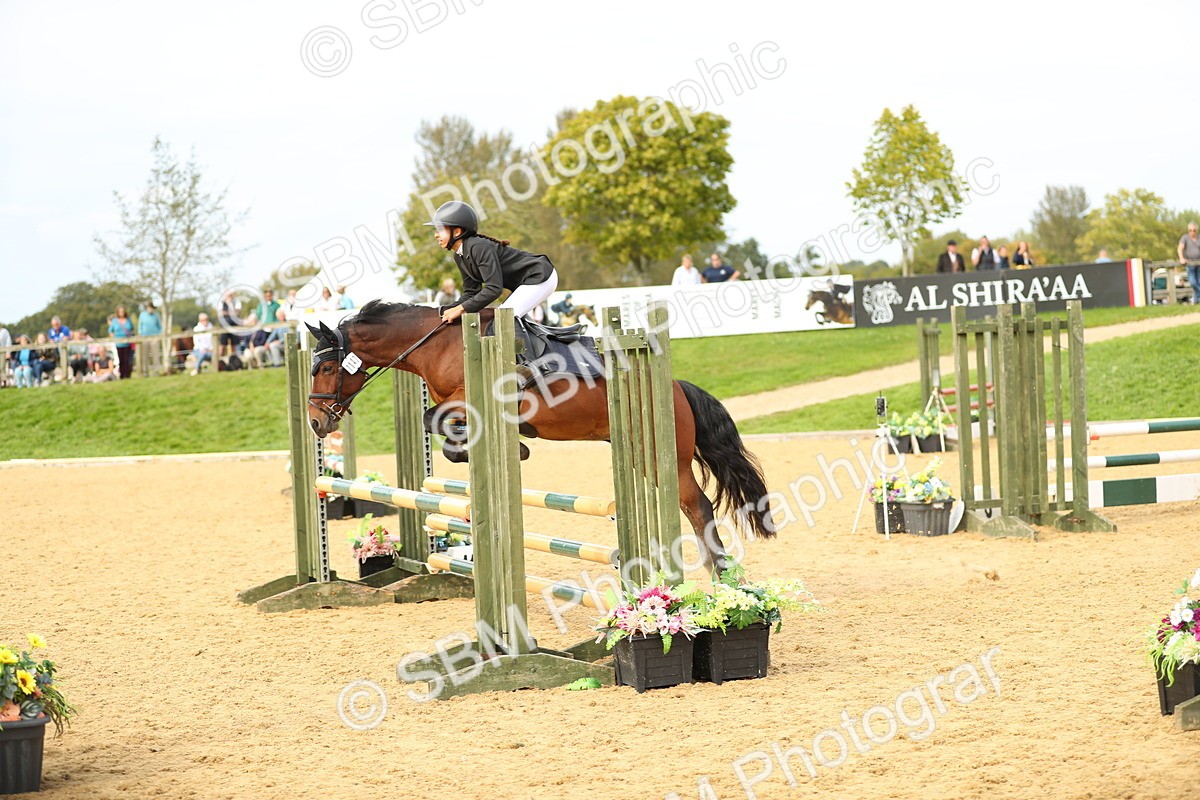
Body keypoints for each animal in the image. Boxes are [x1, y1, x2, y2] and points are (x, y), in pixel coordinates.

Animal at [305, 300, 775, 571]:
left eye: (326, 367)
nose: (315, 422)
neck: (438, 345)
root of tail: (676, 387)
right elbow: (436, 422)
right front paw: (499, 448)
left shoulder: (471, 399)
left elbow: (432, 418)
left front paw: (515, 448)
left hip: (664, 456)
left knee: (698, 508)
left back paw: (720, 574)